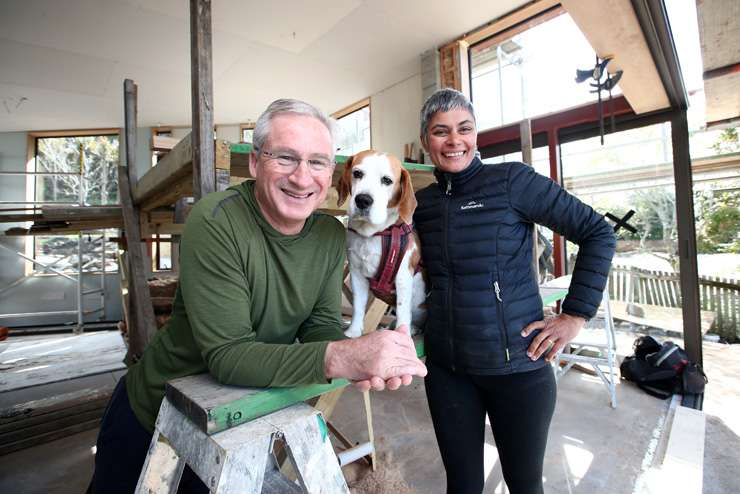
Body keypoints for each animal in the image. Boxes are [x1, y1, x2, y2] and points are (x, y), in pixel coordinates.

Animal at [336, 149, 424, 338]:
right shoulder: (356, 274)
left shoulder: (403, 277)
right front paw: (354, 331)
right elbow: (358, 306)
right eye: (357, 173)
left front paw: (403, 335)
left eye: (387, 180)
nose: (363, 200)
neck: (372, 234)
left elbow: (403, 311)